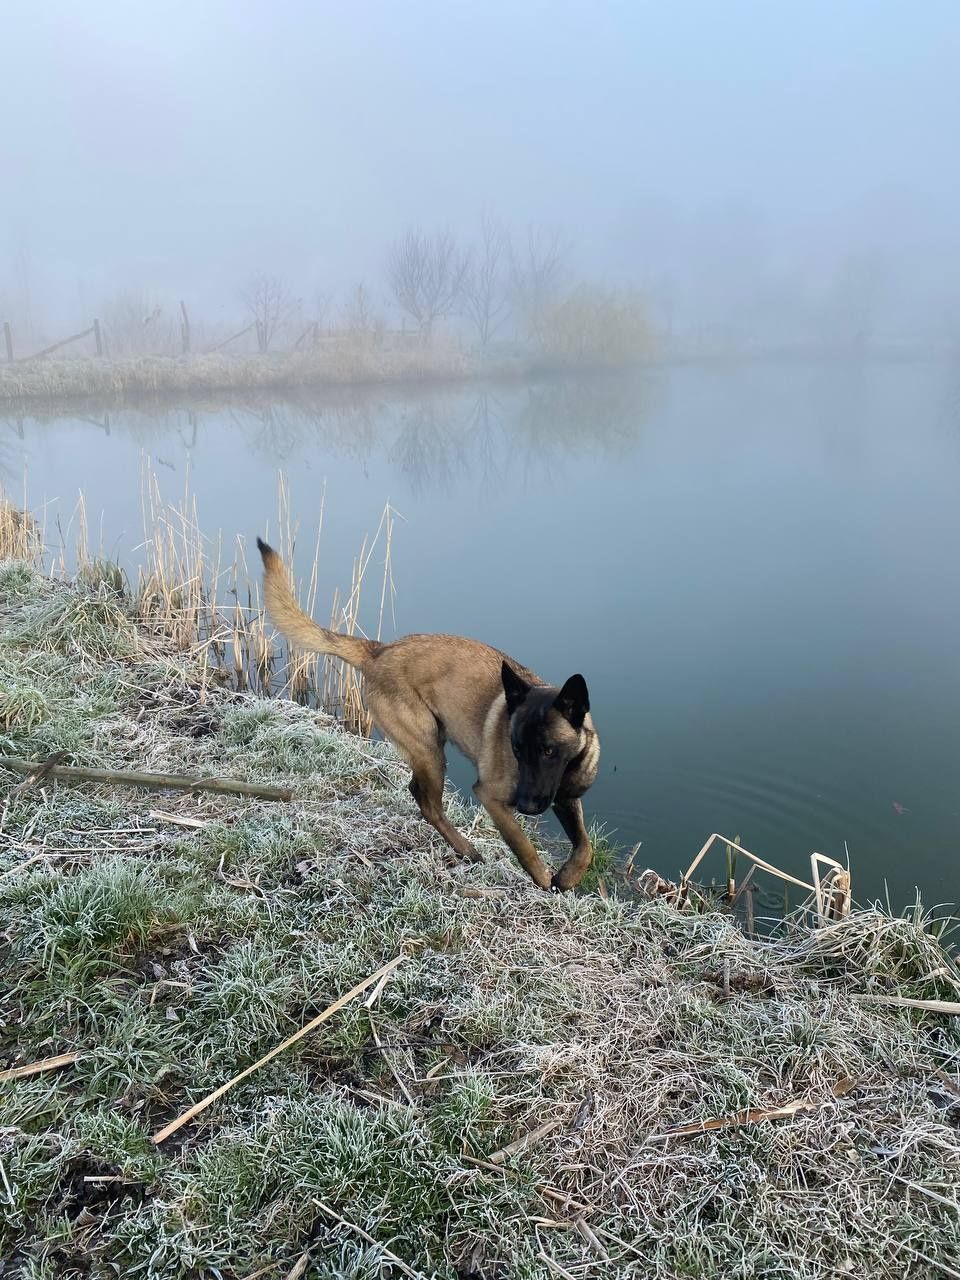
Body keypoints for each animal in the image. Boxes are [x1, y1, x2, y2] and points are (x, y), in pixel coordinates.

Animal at [256, 537, 601, 890]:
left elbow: (585, 846)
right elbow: (523, 845)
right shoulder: (492, 797)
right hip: (428, 746)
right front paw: (544, 879)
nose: (527, 806)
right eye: (516, 749)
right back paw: (466, 849)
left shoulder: (566, 798)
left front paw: (568, 876)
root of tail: (379, 651)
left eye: (549, 751)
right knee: (429, 805)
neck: (568, 767)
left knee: (417, 792)